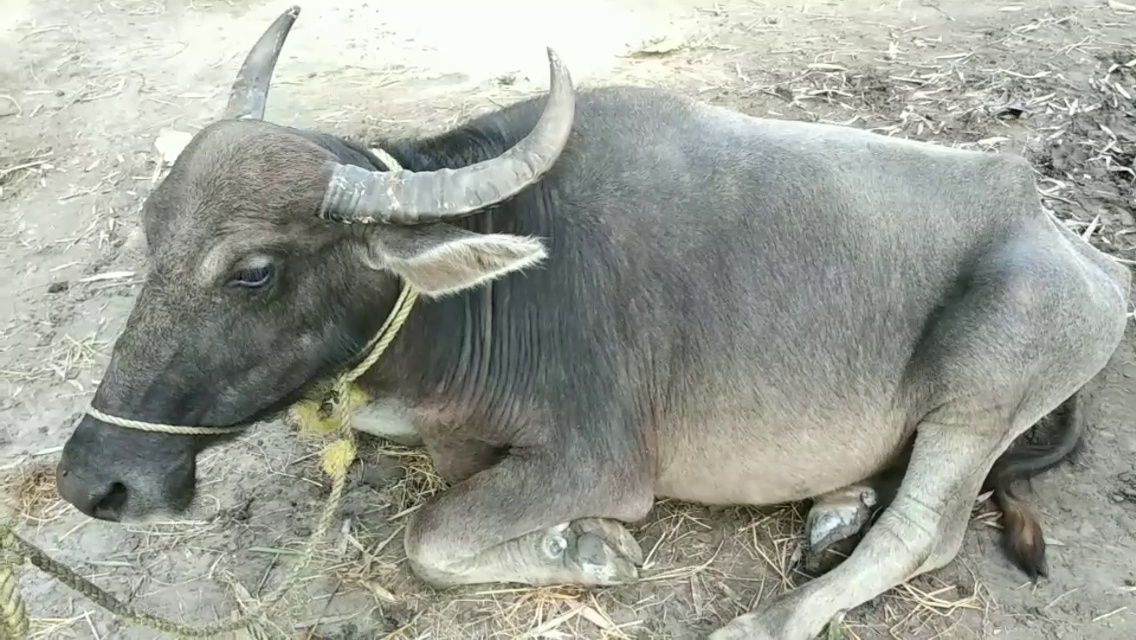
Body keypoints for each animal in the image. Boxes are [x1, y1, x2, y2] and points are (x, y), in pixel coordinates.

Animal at [51, 6, 1126, 640]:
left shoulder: (598, 461)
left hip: (980, 390)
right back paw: (835, 510)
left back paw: (772, 615)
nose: (96, 481)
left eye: (253, 272)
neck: (488, 301)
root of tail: (1080, 250)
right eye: (151, 230)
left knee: (925, 533)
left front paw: (593, 549)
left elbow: (432, 537)